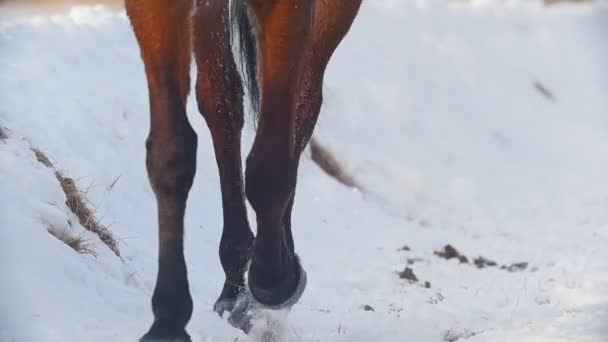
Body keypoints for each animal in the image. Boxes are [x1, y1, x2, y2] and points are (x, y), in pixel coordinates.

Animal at [124, 0, 360, 340]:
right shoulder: (156, 10)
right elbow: (171, 153)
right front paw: (168, 319)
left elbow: (269, 169)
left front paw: (273, 280)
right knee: (222, 100)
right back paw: (235, 278)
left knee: (304, 102)